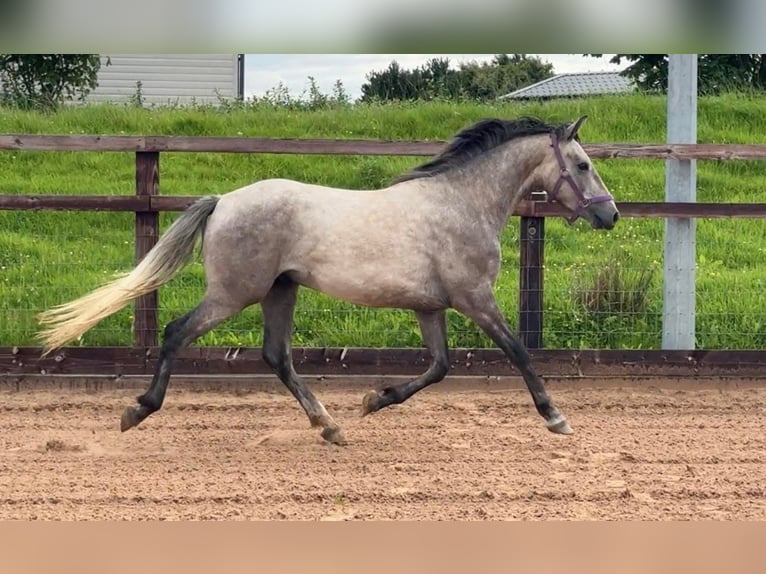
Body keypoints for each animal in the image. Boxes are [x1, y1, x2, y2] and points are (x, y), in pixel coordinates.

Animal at [37, 115, 619, 445]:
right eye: (583, 165)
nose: (610, 215)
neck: (461, 203)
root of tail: (223, 201)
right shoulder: (474, 297)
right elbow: (518, 351)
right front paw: (556, 418)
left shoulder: (430, 307)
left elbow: (439, 367)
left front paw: (373, 401)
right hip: (235, 293)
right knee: (178, 332)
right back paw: (137, 411)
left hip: (281, 290)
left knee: (276, 356)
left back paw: (330, 426)